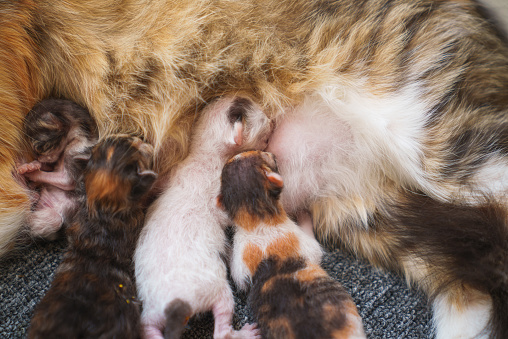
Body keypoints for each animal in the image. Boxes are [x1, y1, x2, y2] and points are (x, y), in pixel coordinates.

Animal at [17, 98, 98, 239]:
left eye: (40, 148)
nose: (37, 157)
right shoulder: (53, 164)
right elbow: (46, 168)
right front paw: (31, 165)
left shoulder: (70, 175)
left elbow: (46, 175)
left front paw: (31, 173)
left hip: (55, 220)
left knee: (32, 220)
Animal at [218, 151, 366, 339]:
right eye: (263, 154)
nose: (271, 152)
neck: (257, 224)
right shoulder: (301, 240)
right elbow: (315, 249)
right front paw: (304, 215)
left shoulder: (241, 260)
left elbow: (238, 278)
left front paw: (226, 249)